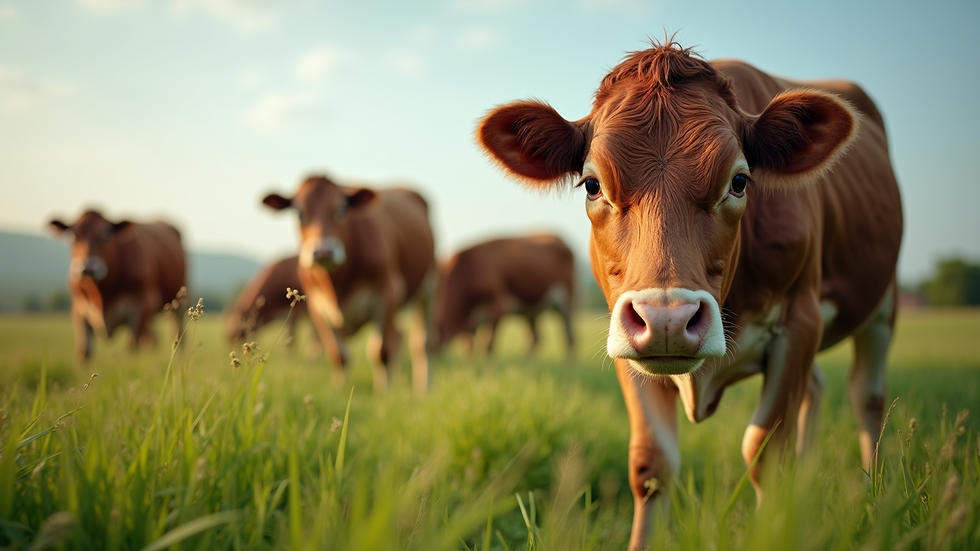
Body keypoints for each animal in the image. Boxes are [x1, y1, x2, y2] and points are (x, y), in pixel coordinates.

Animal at [49, 210, 188, 362]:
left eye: (106, 234)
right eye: (74, 236)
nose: (88, 269)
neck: (102, 293)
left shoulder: (143, 302)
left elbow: (132, 346)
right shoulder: (79, 307)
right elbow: (85, 353)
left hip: (179, 301)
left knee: (177, 334)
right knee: (152, 337)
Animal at [262, 175, 437, 393]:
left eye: (341, 209)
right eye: (300, 213)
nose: (323, 251)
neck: (337, 285)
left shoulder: (389, 292)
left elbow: (382, 351)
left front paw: (383, 392)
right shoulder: (316, 306)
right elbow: (339, 355)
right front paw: (339, 388)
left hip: (429, 284)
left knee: (422, 343)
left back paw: (423, 389)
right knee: (397, 335)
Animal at [435, 234, 576, 357]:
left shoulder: (498, 303)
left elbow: (489, 344)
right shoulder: (472, 320)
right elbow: (469, 345)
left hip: (567, 298)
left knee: (569, 336)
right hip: (530, 311)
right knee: (535, 338)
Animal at [477, 41, 902, 549]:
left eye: (739, 181)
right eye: (592, 185)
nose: (667, 321)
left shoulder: (799, 322)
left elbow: (765, 453)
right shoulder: (624, 339)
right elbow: (651, 462)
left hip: (883, 302)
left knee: (867, 395)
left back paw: (872, 494)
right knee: (817, 389)